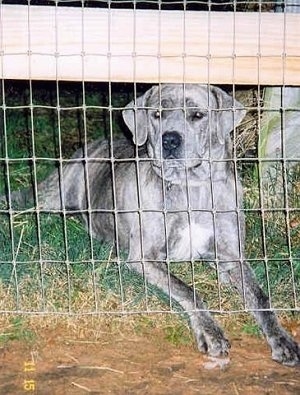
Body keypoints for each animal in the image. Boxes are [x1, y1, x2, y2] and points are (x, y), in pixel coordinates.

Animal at [2, 84, 300, 368]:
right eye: (157, 114)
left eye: (197, 115)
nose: (170, 139)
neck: (190, 186)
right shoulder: (144, 257)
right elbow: (187, 289)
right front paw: (211, 333)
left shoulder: (231, 256)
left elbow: (260, 296)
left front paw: (282, 340)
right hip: (53, 196)